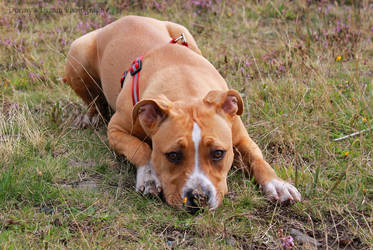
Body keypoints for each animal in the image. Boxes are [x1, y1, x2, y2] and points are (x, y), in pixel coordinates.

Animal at [64, 15, 300, 211]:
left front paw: (277, 183)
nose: (199, 197)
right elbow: (141, 149)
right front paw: (149, 177)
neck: (186, 89)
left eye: (218, 153)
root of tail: (122, 19)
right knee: (94, 99)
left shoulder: (240, 136)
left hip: (184, 33)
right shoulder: (116, 131)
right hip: (77, 54)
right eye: (173, 155)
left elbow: (257, 157)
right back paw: (92, 115)